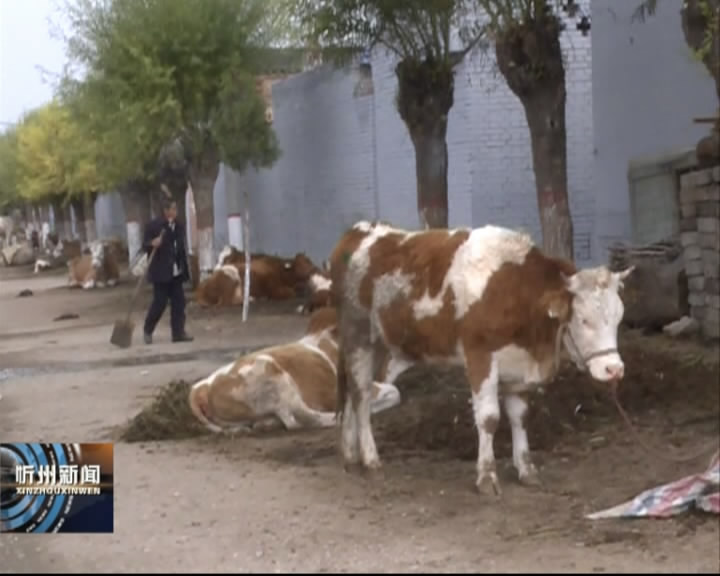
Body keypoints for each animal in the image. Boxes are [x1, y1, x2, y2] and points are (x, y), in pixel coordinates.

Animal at [330, 220, 632, 496]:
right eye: (584, 320)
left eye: (619, 317)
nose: (614, 369)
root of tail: (360, 230)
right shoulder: (480, 356)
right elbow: (489, 418)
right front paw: (487, 477)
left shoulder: (518, 366)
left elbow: (519, 416)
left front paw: (526, 469)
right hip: (358, 337)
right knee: (361, 396)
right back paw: (370, 461)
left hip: (378, 344)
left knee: (353, 394)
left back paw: (349, 456)